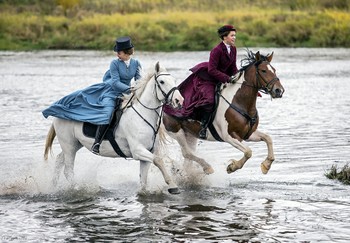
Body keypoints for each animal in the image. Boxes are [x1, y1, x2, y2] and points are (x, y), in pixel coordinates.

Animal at [44, 62, 183, 194]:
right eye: (162, 81)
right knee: (68, 170)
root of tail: (58, 114)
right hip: (69, 146)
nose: (179, 100)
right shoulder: (138, 151)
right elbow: (159, 161)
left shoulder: (148, 153)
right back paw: (76, 189)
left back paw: (53, 185)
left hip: (75, 144)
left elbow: (144, 180)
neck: (142, 115)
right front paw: (173, 186)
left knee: (59, 160)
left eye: (174, 80)